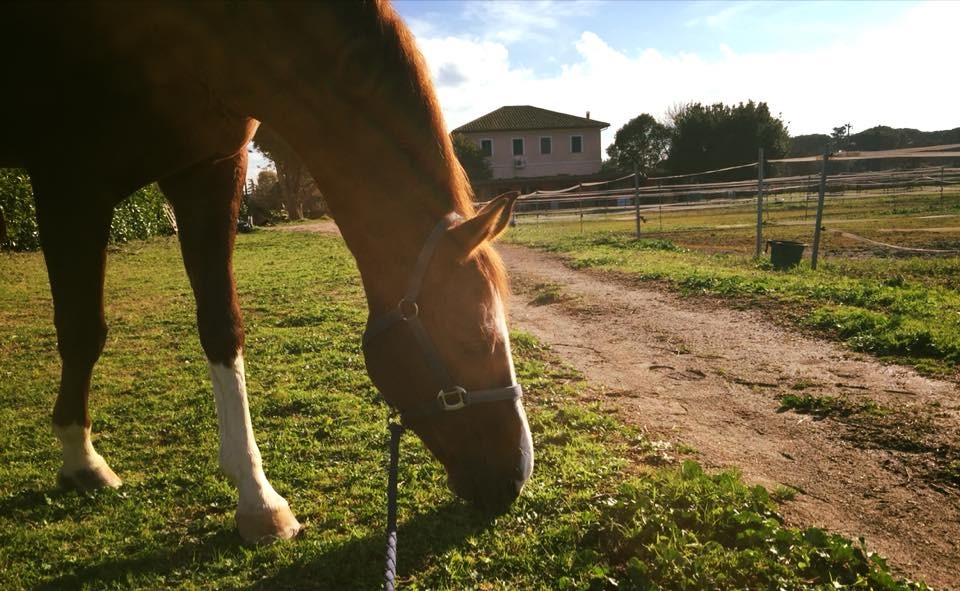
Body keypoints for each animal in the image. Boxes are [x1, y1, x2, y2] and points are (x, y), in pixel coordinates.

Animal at [0, 1, 533, 543]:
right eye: (474, 338)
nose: (515, 476)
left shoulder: (210, 168)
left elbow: (221, 327)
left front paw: (258, 499)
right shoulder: (69, 183)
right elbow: (83, 332)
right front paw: (80, 458)